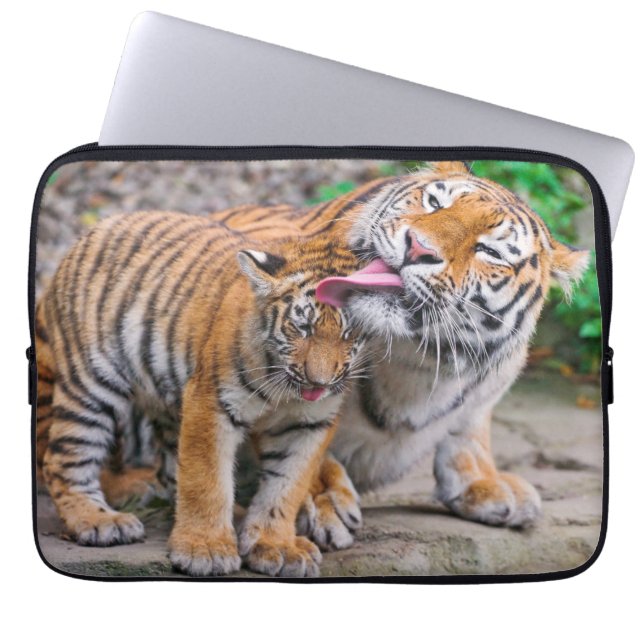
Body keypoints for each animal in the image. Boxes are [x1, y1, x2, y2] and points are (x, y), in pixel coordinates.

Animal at [35, 210, 367, 577]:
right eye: (302, 328)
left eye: (350, 333)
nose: (318, 382)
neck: (284, 388)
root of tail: (98, 226)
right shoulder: (213, 402)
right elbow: (206, 479)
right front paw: (204, 550)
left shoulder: (309, 424)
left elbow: (286, 486)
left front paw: (276, 545)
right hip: (91, 384)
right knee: (62, 458)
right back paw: (99, 521)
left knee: (169, 472)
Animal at [208, 161, 590, 547]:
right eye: (435, 203)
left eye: (490, 252)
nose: (418, 248)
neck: (416, 358)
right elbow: (298, 441)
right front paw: (324, 499)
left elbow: (470, 427)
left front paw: (485, 482)